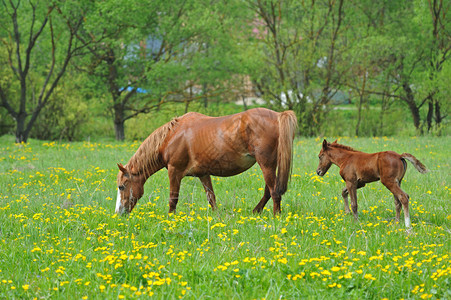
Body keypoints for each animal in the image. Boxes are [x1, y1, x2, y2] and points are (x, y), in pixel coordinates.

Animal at [116, 108, 298, 216]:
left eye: (122, 186)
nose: (119, 213)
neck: (171, 136)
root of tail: (278, 115)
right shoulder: (203, 174)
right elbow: (211, 198)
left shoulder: (174, 171)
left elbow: (173, 198)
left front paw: (170, 219)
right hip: (271, 165)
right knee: (269, 191)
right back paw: (256, 211)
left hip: (266, 164)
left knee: (274, 192)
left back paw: (275, 216)